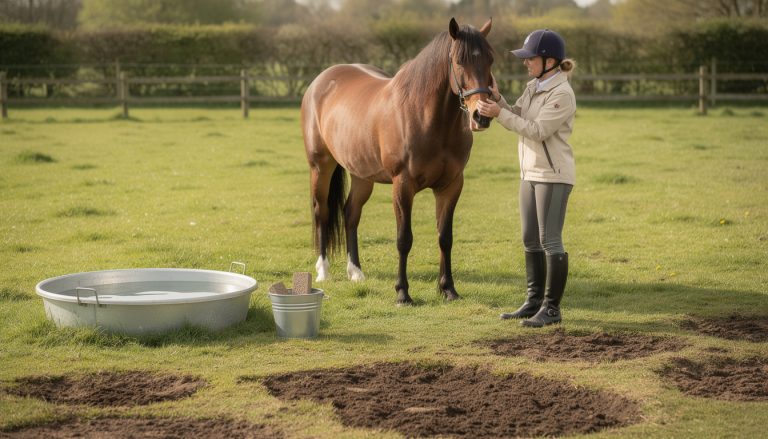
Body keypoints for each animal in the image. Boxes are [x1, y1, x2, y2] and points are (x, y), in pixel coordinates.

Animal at [301, 17, 495, 305]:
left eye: (491, 59)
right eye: (459, 61)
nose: (481, 116)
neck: (425, 116)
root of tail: (320, 81)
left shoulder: (451, 186)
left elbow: (445, 237)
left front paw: (448, 289)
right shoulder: (403, 185)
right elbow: (404, 239)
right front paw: (403, 293)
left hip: (362, 175)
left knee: (350, 214)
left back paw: (355, 272)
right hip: (320, 166)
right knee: (322, 211)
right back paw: (324, 271)